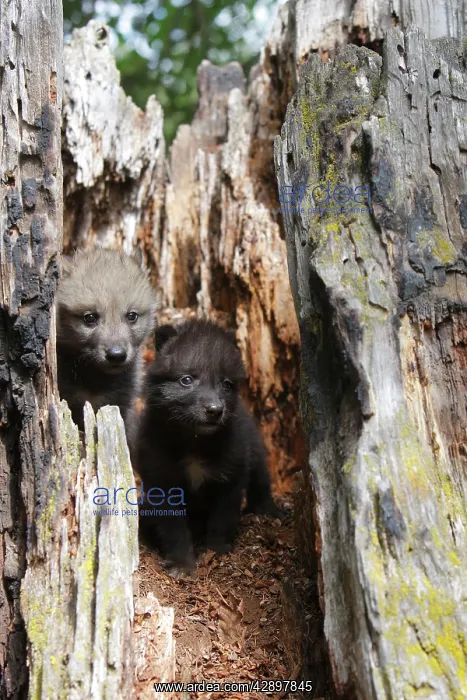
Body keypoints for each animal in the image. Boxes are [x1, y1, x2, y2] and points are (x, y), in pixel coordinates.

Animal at [136, 319, 280, 573]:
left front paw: (215, 550)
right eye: (186, 380)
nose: (215, 410)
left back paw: (269, 511)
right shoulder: (162, 482)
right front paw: (182, 563)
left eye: (226, 384)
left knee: (261, 483)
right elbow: (174, 528)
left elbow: (221, 518)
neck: (195, 442)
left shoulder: (231, 476)